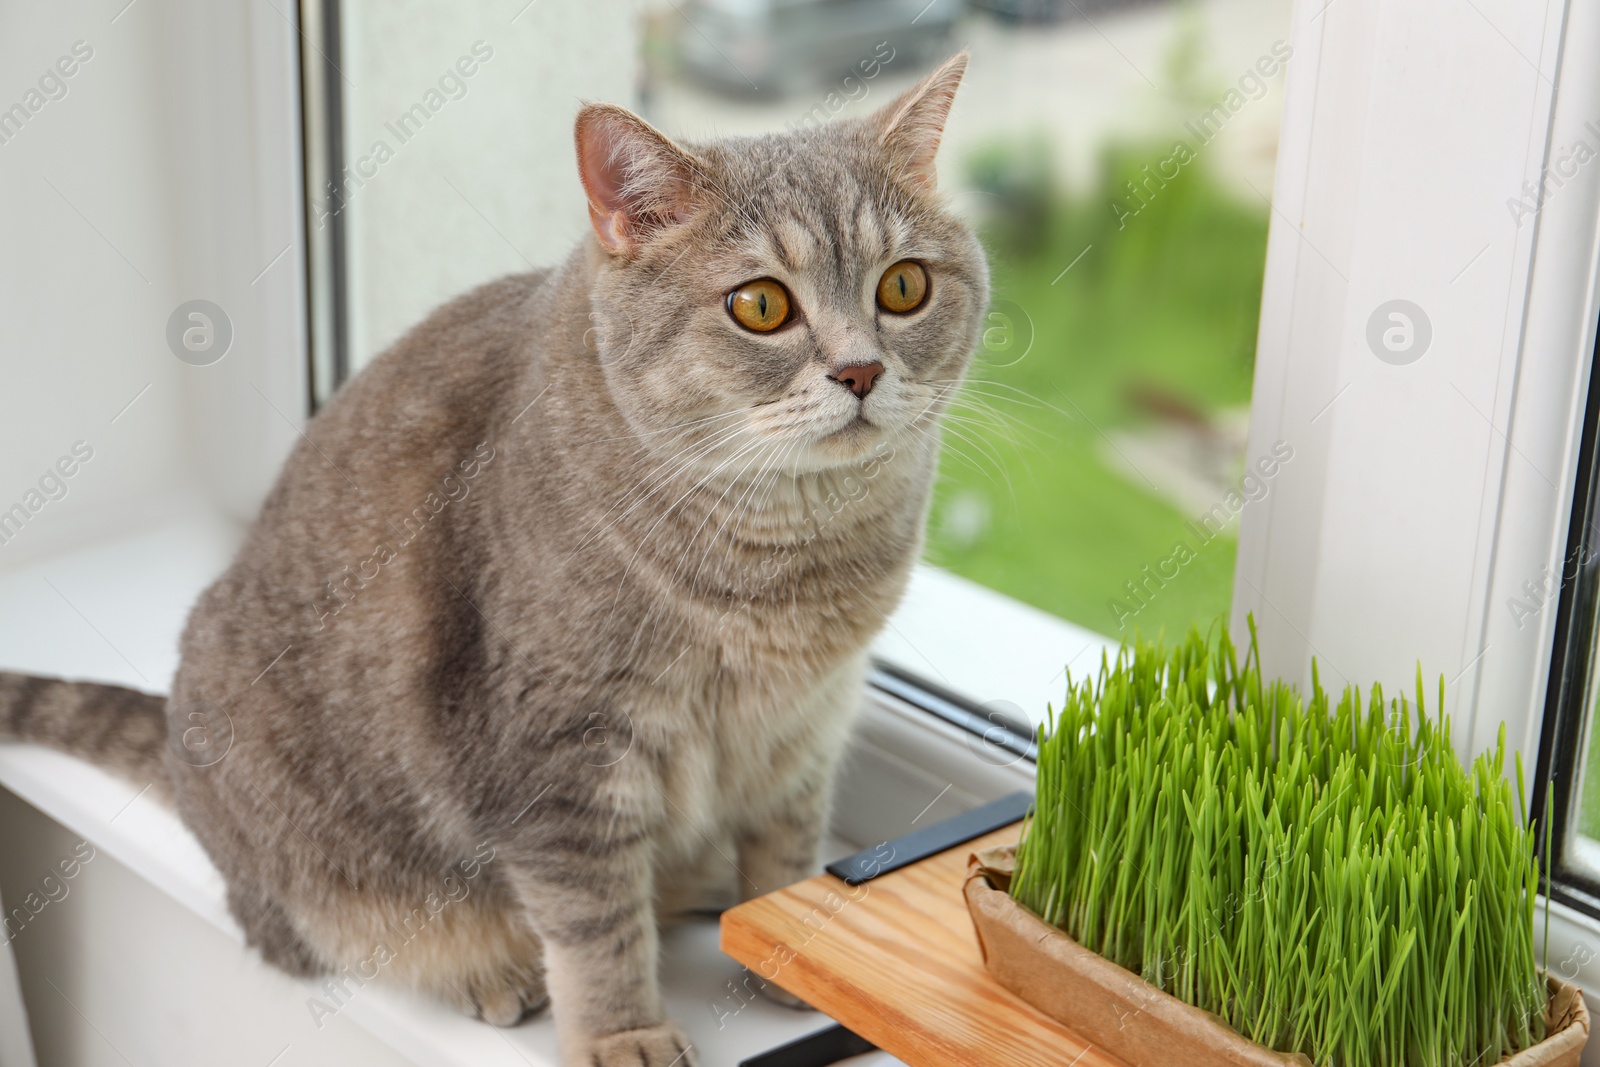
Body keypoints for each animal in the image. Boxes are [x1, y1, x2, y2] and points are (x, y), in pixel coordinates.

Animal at [0, 51, 979, 1067]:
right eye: (761, 305)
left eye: (903, 287)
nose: (861, 371)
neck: (792, 558)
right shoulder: (562, 759)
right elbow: (594, 922)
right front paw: (623, 1030)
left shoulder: (804, 727)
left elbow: (784, 852)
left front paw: (783, 942)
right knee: (336, 933)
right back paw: (489, 968)